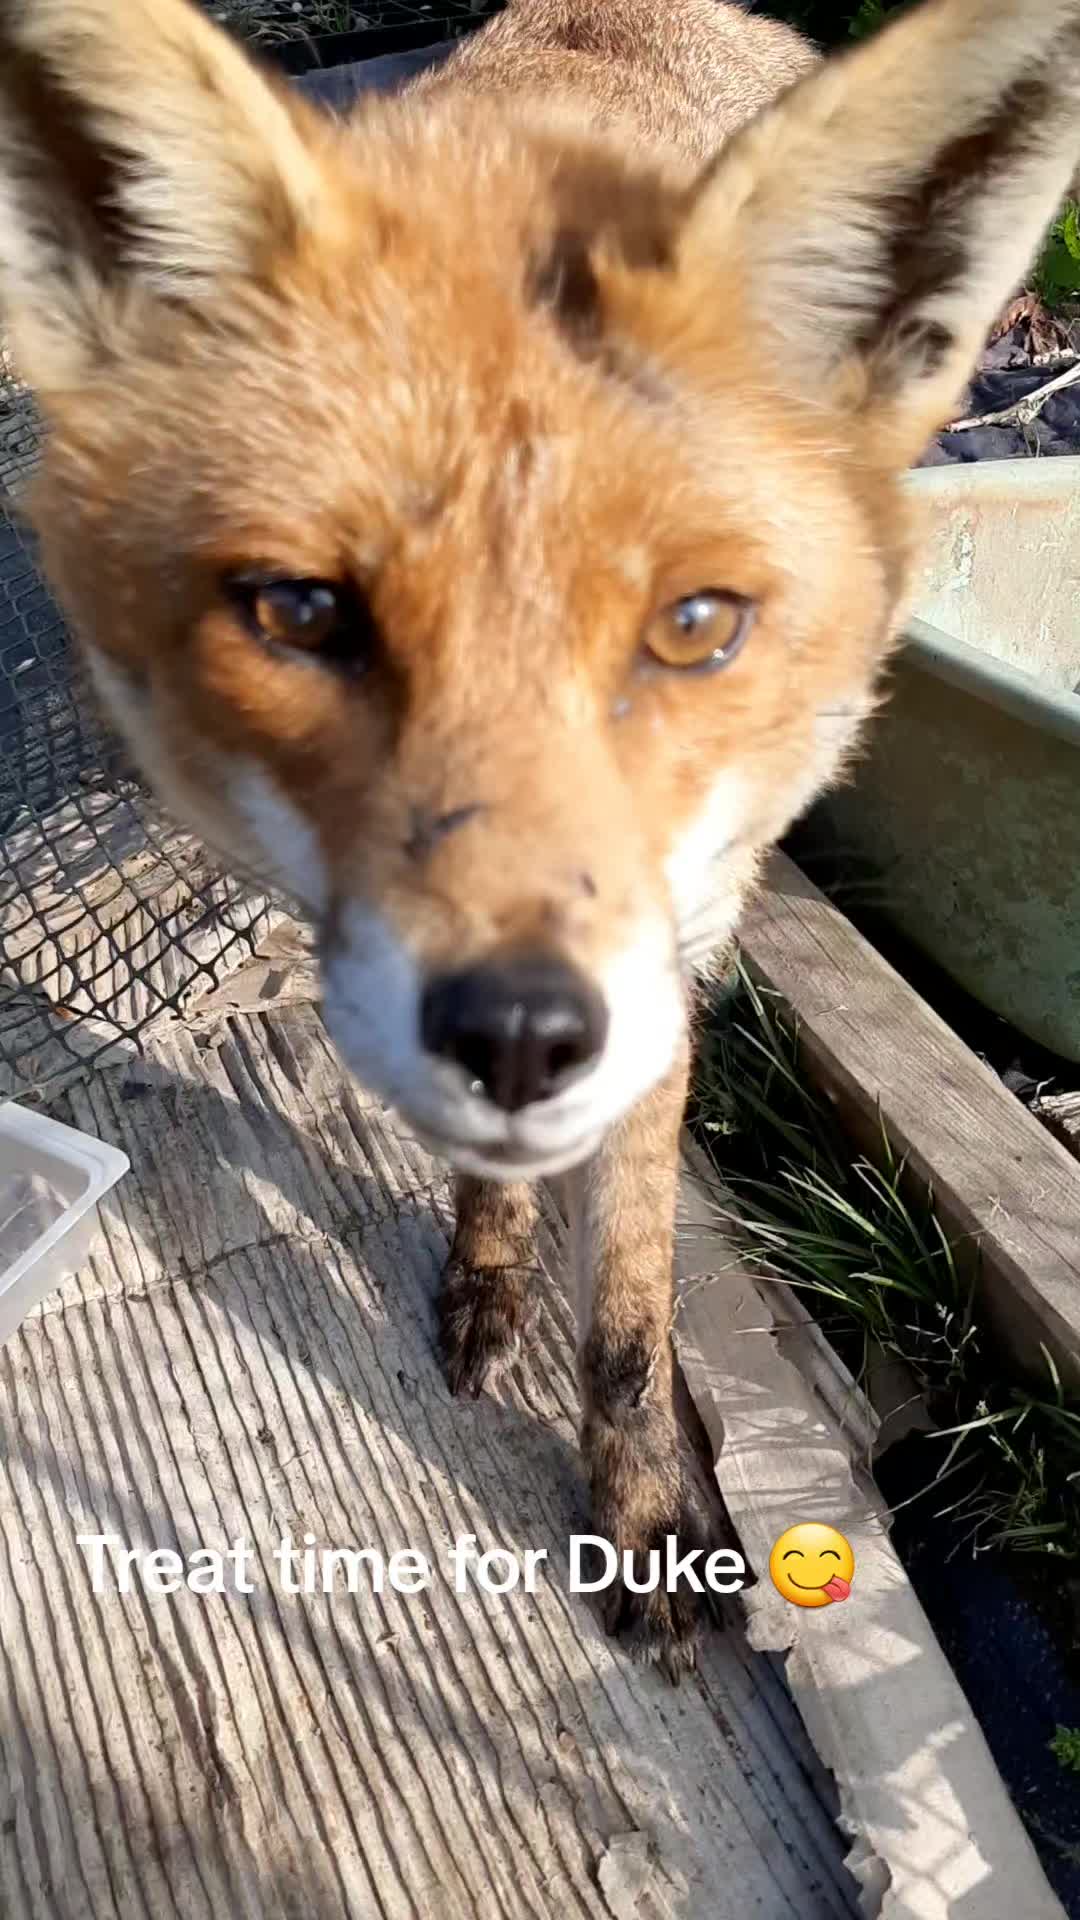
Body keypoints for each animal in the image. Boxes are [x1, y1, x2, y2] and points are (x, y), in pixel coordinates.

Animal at [1, 0, 1078, 1677]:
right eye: (301, 614)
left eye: (695, 625)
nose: (521, 1034)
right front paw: (488, 1271)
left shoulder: (665, 952)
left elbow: (631, 1305)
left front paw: (640, 1504)